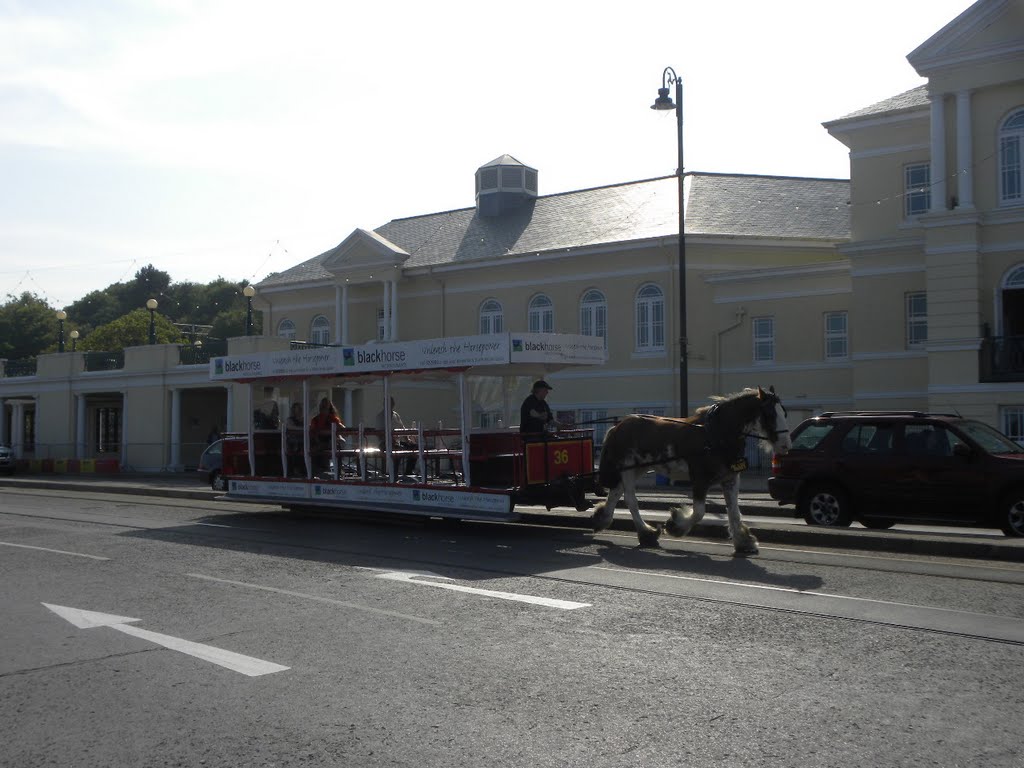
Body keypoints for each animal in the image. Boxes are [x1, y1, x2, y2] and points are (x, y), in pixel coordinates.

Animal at [593, 387, 790, 557]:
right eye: (769, 414)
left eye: (784, 413)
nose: (786, 445)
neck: (716, 434)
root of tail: (617, 426)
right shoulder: (699, 479)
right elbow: (699, 512)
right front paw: (676, 526)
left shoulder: (731, 479)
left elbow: (734, 512)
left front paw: (743, 541)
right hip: (628, 467)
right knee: (630, 498)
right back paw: (645, 533)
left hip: (637, 468)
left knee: (616, 492)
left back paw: (604, 518)